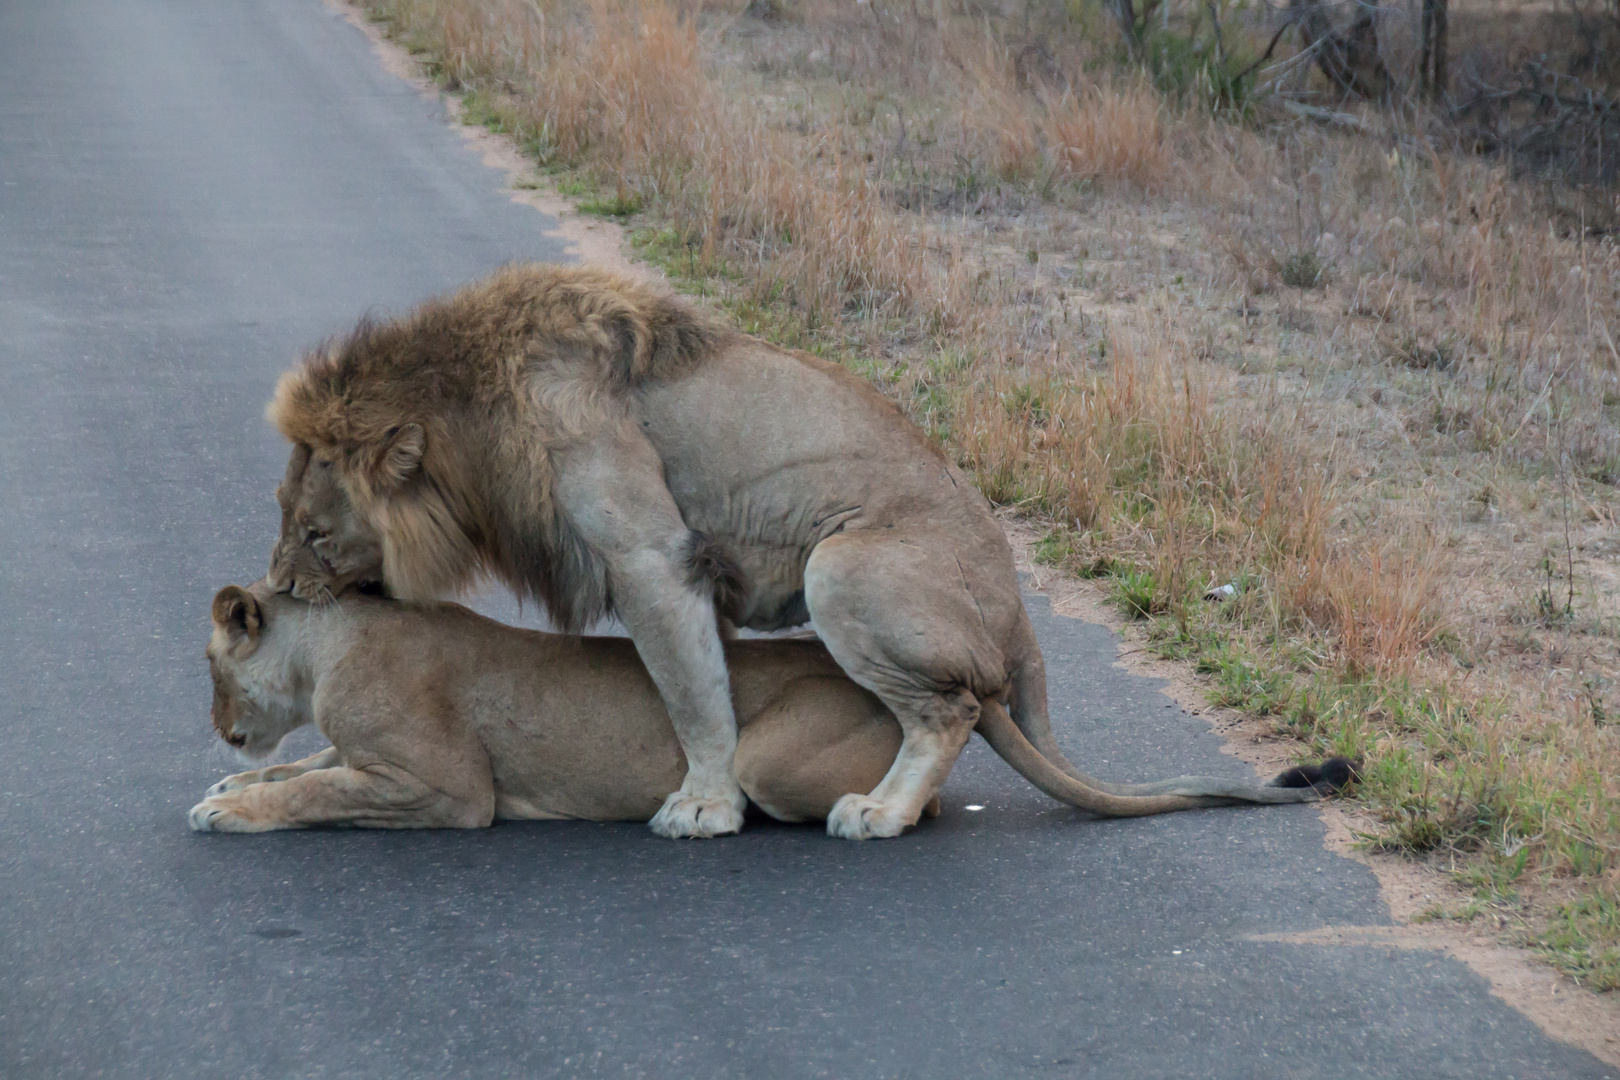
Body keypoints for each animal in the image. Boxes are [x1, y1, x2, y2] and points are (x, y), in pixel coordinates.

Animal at [262, 265, 1328, 841]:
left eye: (315, 532)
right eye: (283, 515)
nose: (276, 587)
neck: (471, 410)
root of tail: (1024, 624)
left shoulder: (649, 555)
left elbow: (694, 697)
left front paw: (703, 806)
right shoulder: (691, 573)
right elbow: (710, 679)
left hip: (842, 566)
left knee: (948, 711)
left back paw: (880, 812)